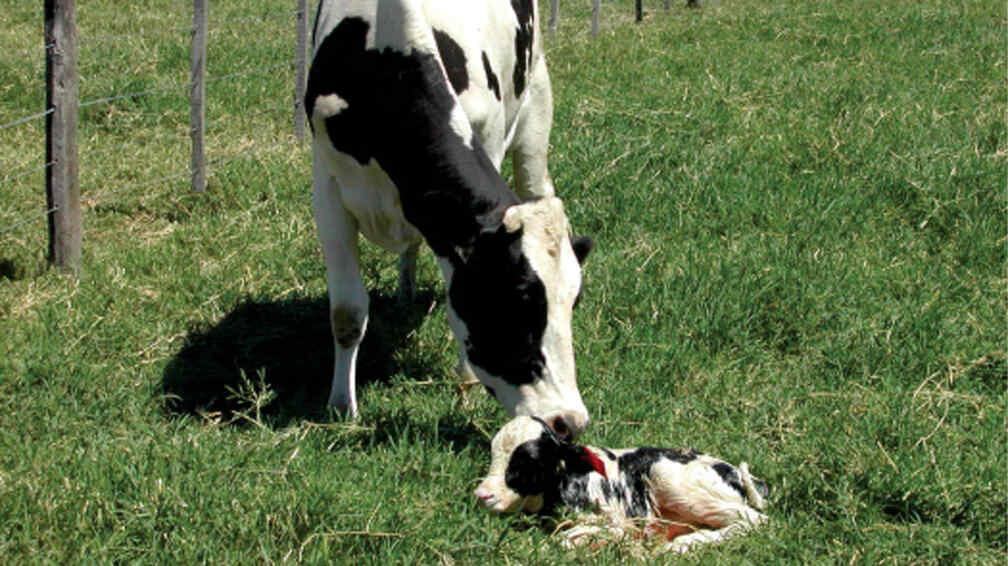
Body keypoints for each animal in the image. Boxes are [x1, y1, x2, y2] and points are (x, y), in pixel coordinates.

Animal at [304, 0, 588, 433]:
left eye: (575, 302)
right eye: (518, 298)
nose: (570, 421)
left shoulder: (486, 142)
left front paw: (465, 383)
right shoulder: (328, 186)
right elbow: (347, 312)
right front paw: (341, 407)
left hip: (537, 97)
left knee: (537, 184)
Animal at [475, 414, 766, 551]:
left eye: (529, 462)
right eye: (493, 454)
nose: (482, 495)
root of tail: (732, 471)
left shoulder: (617, 521)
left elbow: (564, 540)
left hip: (670, 476)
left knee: (754, 520)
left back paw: (684, 544)